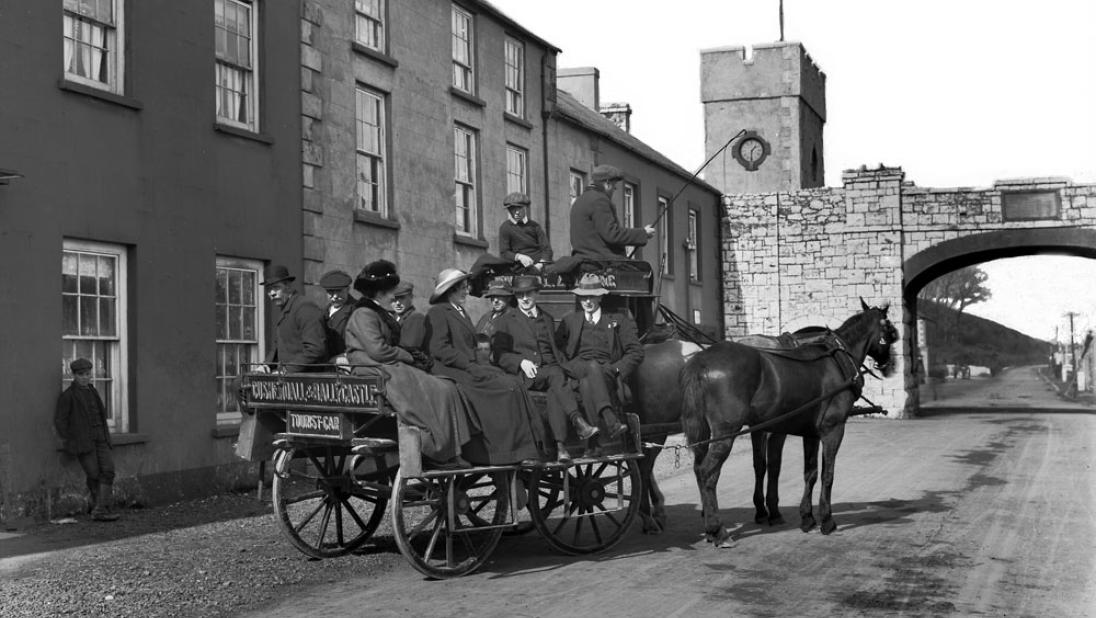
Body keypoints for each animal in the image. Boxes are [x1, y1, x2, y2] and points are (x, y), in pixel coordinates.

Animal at [675, 300, 898, 545]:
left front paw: (807, 518)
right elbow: (827, 474)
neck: (837, 359)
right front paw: (826, 520)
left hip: (705, 432)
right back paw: (718, 530)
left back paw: (710, 527)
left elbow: (810, 474)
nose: (891, 365)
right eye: (890, 330)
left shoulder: (811, 433)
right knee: (708, 473)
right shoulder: (833, 429)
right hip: (727, 432)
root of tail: (702, 360)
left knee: (698, 469)